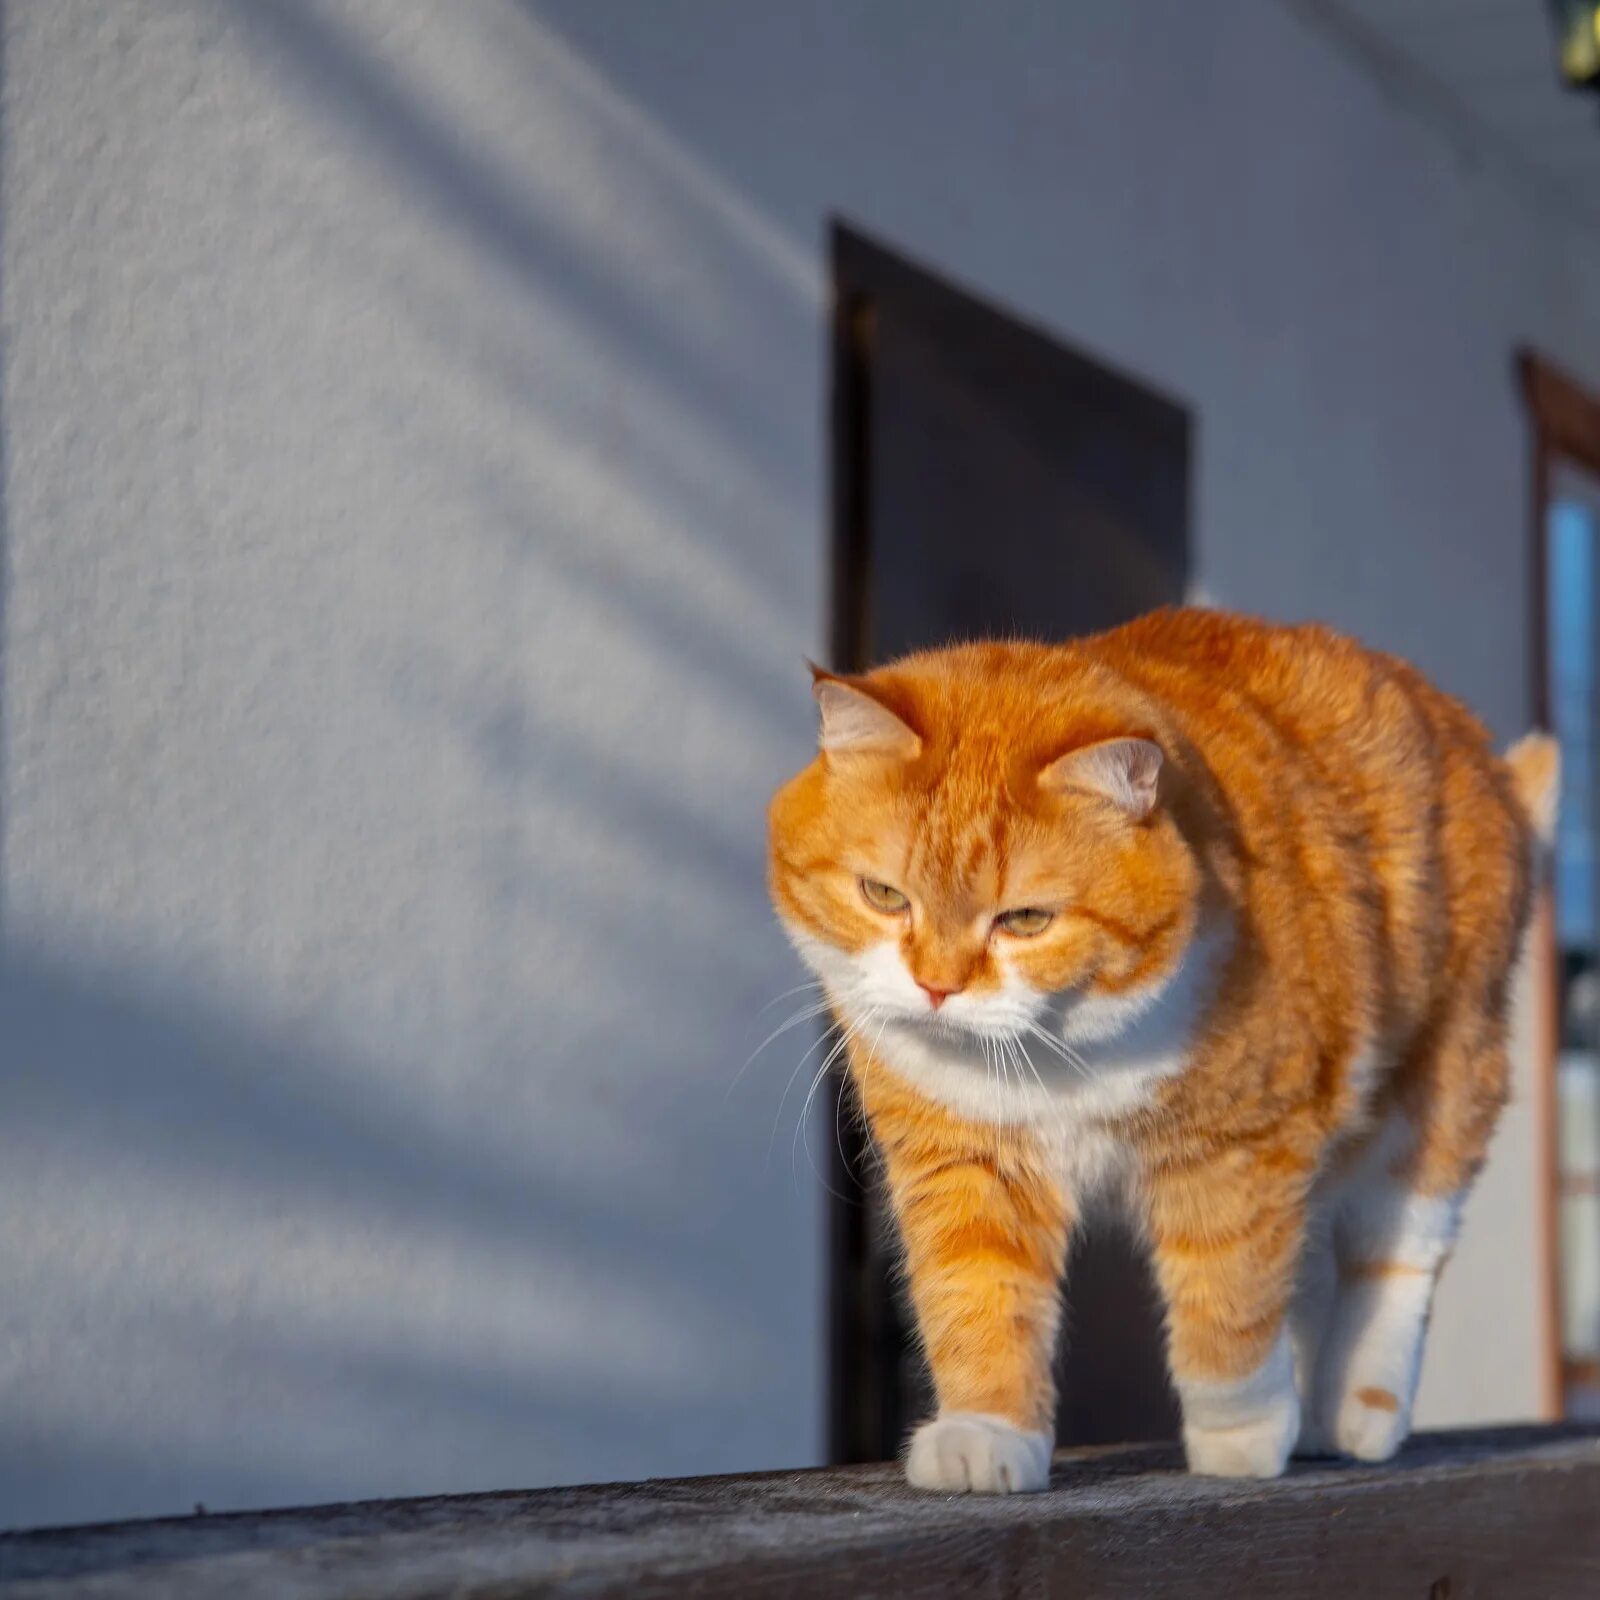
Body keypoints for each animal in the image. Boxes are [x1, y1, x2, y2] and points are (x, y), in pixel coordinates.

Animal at [768, 608, 1555, 1484]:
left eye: (1024, 920)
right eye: (883, 895)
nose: (937, 988)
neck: (1058, 1055)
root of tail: (1472, 745)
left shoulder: (1238, 1149)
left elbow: (1230, 1293)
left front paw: (1240, 1434)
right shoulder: (967, 1157)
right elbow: (975, 1292)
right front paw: (986, 1433)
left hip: (1437, 1090)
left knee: (1396, 1252)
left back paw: (1355, 1410)